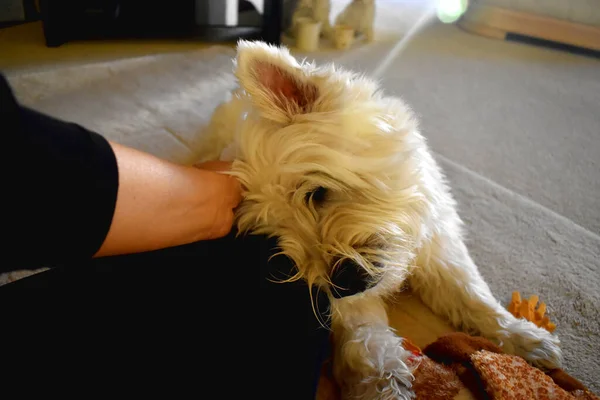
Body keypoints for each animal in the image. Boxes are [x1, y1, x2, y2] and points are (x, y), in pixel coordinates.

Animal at [197, 41, 564, 400]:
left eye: (316, 193)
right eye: (275, 237)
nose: (342, 284)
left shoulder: (437, 244)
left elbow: (469, 293)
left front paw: (526, 338)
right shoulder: (354, 303)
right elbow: (368, 343)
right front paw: (382, 387)